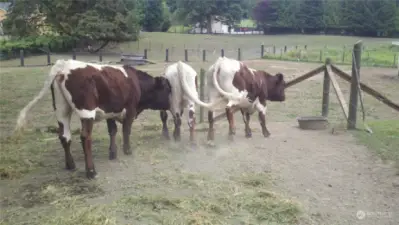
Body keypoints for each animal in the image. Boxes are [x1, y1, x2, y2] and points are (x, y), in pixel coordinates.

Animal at [14, 59, 171, 178]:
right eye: (167, 90)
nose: (171, 104)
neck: (135, 81)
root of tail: (64, 64)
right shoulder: (130, 109)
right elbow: (126, 130)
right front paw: (127, 150)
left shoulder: (111, 111)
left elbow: (112, 131)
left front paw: (113, 152)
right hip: (86, 112)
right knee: (85, 137)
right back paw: (90, 171)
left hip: (61, 110)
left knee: (64, 136)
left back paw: (70, 165)